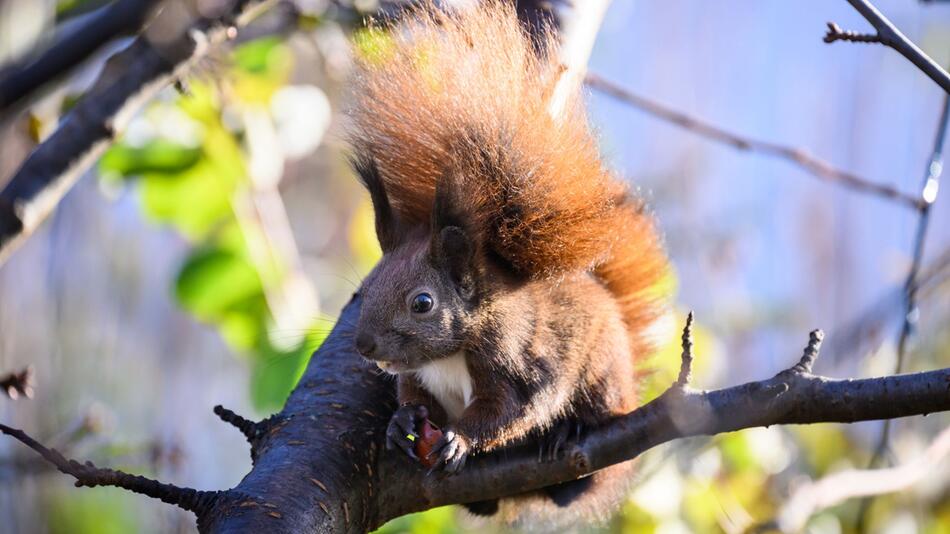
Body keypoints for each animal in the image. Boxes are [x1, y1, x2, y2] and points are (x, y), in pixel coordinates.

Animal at [346, 0, 664, 528]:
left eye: (423, 303)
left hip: (603, 379)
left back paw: (569, 435)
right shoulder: (416, 374)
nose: (365, 346)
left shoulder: (515, 359)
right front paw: (401, 422)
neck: (449, 353)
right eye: (364, 290)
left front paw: (460, 439)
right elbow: (412, 395)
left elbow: (513, 409)